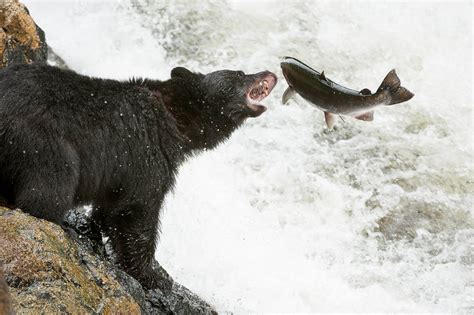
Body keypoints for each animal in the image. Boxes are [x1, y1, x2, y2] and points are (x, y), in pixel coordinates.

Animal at [0, 63, 278, 288]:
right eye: (240, 73)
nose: (270, 73)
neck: (176, 119)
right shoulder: (149, 152)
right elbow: (137, 210)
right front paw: (153, 276)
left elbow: (109, 206)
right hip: (42, 143)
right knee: (51, 190)